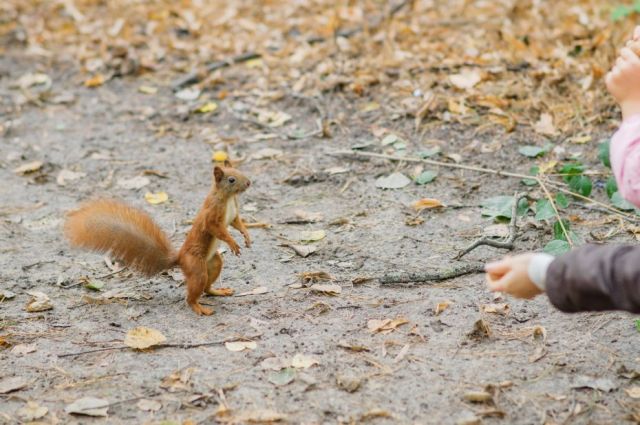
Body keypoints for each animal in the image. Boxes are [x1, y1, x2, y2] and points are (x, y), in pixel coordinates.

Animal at [64, 165, 250, 314]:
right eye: (231, 180)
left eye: (240, 171)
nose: (249, 183)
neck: (228, 198)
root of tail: (180, 258)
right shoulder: (211, 214)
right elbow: (216, 229)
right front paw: (233, 243)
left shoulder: (234, 214)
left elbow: (237, 223)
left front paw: (246, 236)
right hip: (196, 268)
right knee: (193, 294)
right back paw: (199, 308)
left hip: (213, 262)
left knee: (207, 287)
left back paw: (219, 292)